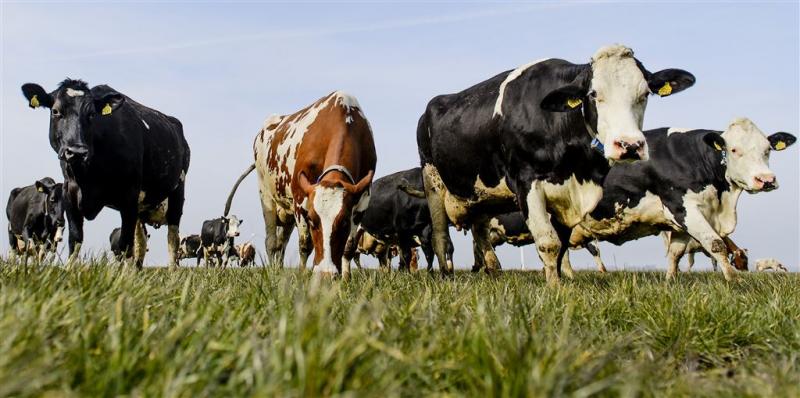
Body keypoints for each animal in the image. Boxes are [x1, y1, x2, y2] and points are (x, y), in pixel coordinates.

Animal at [20, 79, 191, 268]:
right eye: (55, 111)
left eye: (92, 115)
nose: (77, 151)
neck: (87, 176)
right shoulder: (69, 195)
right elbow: (75, 239)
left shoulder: (129, 196)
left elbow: (125, 245)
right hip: (142, 207)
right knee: (141, 242)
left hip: (177, 193)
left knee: (172, 240)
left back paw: (172, 270)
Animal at [223, 91, 376, 276]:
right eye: (312, 220)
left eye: (344, 221)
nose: (325, 273)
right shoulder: (300, 199)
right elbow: (305, 244)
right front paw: (303, 275)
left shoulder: (362, 201)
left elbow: (350, 246)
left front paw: (346, 278)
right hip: (265, 195)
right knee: (271, 242)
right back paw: (272, 271)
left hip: (286, 213)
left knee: (281, 243)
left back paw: (279, 269)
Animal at [418, 45, 692, 282]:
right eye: (593, 94)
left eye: (645, 94)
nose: (630, 145)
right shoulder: (526, 182)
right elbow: (548, 243)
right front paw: (554, 287)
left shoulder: (567, 196)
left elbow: (561, 246)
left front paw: (559, 282)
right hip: (432, 180)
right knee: (441, 237)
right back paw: (446, 275)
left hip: (481, 194)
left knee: (481, 233)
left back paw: (494, 272)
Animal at [568, 118, 792, 280]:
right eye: (734, 150)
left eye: (767, 150)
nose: (766, 180)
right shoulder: (682, 208)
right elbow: (716, 244)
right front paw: (733, 280)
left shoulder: (681, 222)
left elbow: (675, 253)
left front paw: (670, 281)